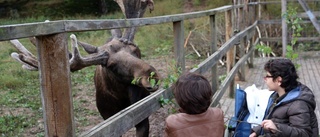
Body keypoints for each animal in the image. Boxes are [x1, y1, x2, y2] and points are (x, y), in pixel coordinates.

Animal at [9, 0, 159, 136]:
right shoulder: (107, 116)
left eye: (136, 51)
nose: (151, 75)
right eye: (110, 65)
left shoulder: (143, 113)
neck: (123, 100)